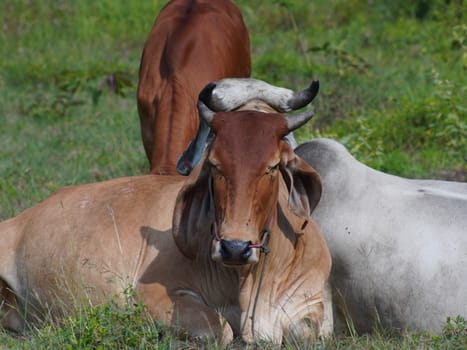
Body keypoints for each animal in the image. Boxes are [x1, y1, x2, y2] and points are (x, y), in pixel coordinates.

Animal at [0, 84, 332, 342]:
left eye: (272, 166)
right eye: (214, 164)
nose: (234, 248)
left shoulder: (312, 302)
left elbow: (301, 330)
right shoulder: (153, 295)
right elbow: (221, 330)